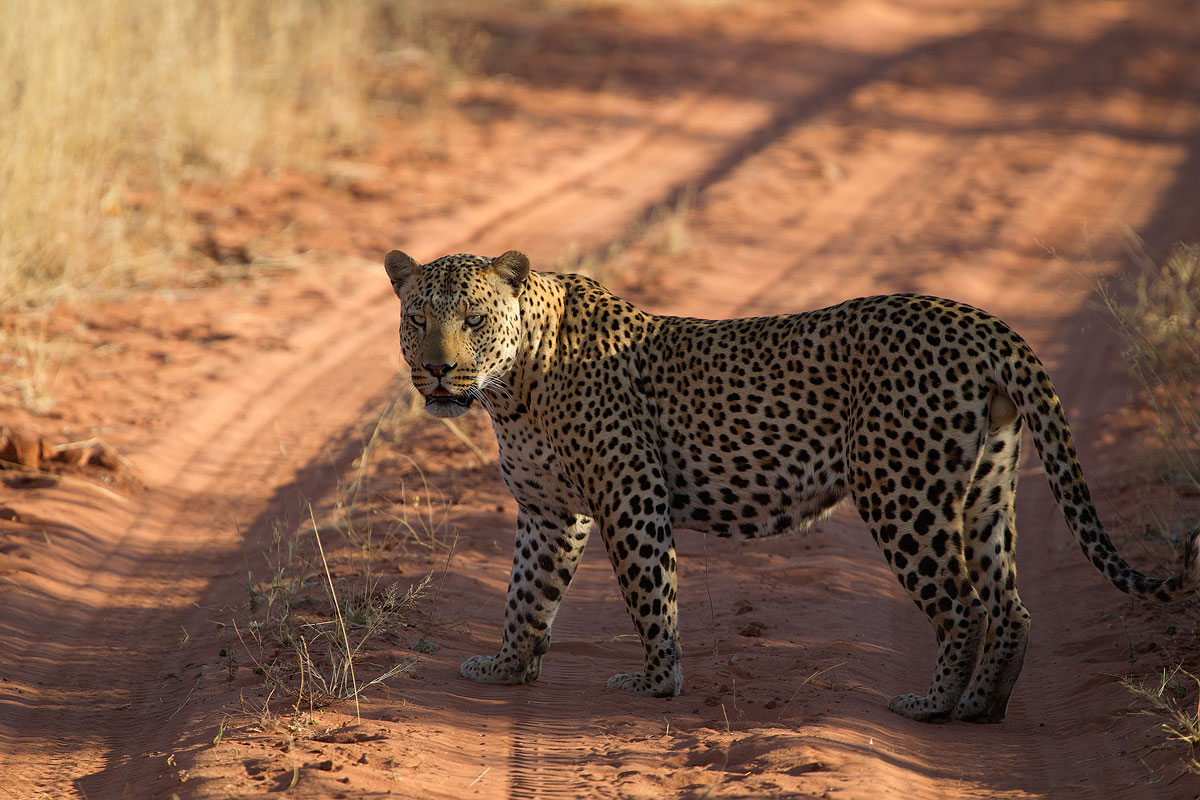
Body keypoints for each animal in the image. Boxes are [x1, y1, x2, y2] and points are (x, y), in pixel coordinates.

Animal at [383, 248, 1200, 723]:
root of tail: (977, 319)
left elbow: (649, 594)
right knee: (1012, 605)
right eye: (417, 318)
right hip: (985, 486)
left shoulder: (629, 495)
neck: (513, 388)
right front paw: (505, 669)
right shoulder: (549, 511)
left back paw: (931, 706)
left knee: (963, 604)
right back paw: (982, 707)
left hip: (902, 492)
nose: (438, 370)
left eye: (473, 318)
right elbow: (526, 594)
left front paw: (657, 685)